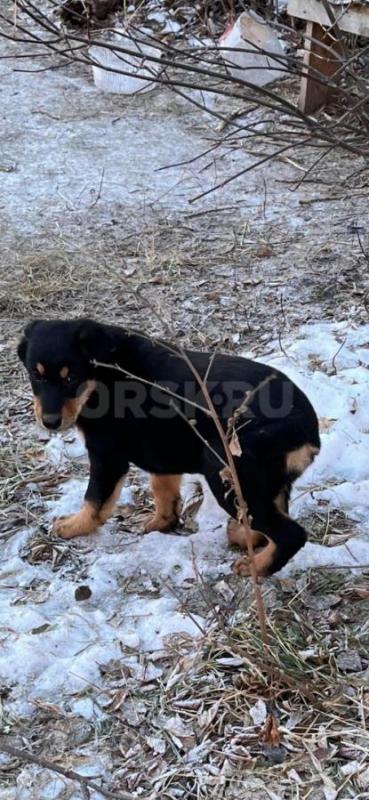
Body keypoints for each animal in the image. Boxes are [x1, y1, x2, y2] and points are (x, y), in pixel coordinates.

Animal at [18, 318, 320, 576]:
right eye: (36, 375)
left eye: (70, 379)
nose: (50, 422)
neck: (102, 376)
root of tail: (308, 432)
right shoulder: (160, 450)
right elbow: (162, 489)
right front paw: (162, 522)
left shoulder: (107, 456)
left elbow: (94, 500)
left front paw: (73, 526)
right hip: (265, 481)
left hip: (225, 470)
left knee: (291, 534)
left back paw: (256, 566)